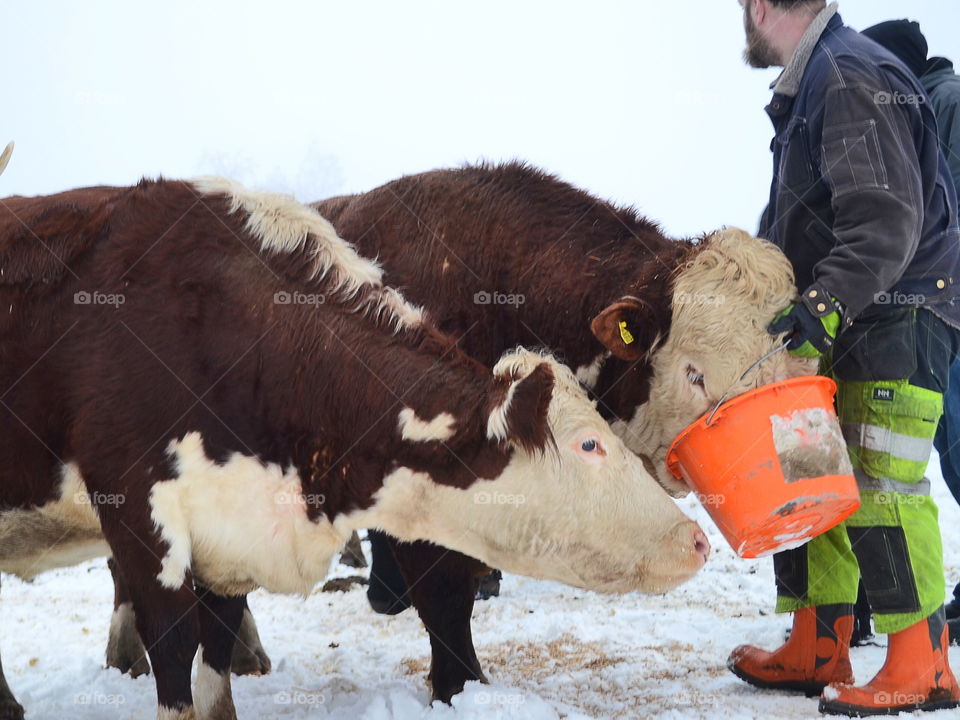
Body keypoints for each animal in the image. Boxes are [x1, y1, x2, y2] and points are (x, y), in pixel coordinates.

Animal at [0, 176, 708, 720]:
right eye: (590, 445)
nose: (696, 539)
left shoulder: (226, 538)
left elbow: (215, 655)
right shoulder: (140, 515)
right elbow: (174, 654)